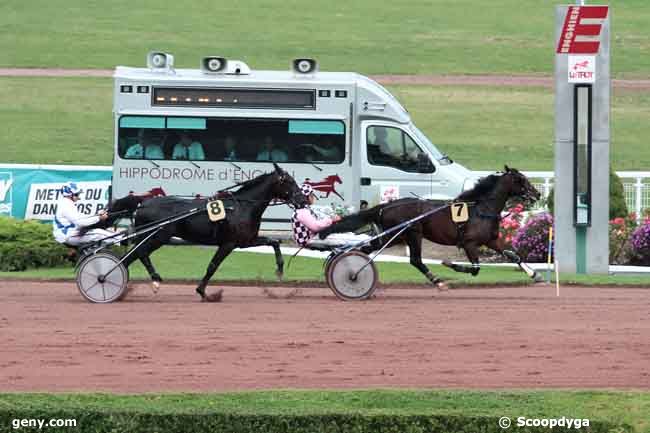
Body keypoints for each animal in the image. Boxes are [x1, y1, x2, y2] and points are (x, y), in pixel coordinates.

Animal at [90, 164, 306, 302]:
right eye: (289, 182)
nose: (304, 200)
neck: (241, 206)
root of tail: (144, 202)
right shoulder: (228, 243)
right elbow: (212, 266)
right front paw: (203, 292)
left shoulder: (245, 240)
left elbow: (274, 242)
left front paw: (280, 269)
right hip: (158, 236)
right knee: (134, 255)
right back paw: (108, 280)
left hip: (152, 236)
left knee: (139, 254)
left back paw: (151, 280)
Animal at [316, 165, 540, 286]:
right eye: (520, 180)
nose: (537, 193)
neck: (481, 208)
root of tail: (386, 206)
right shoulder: (469, 243)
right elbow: (475, 267)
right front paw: (450, 264)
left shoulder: (491, 240)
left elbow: (513, 256)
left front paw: (534, 274)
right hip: (411, 233)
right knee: (415, 260)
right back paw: (437, 280)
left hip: (395, 237)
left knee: (367, 249)